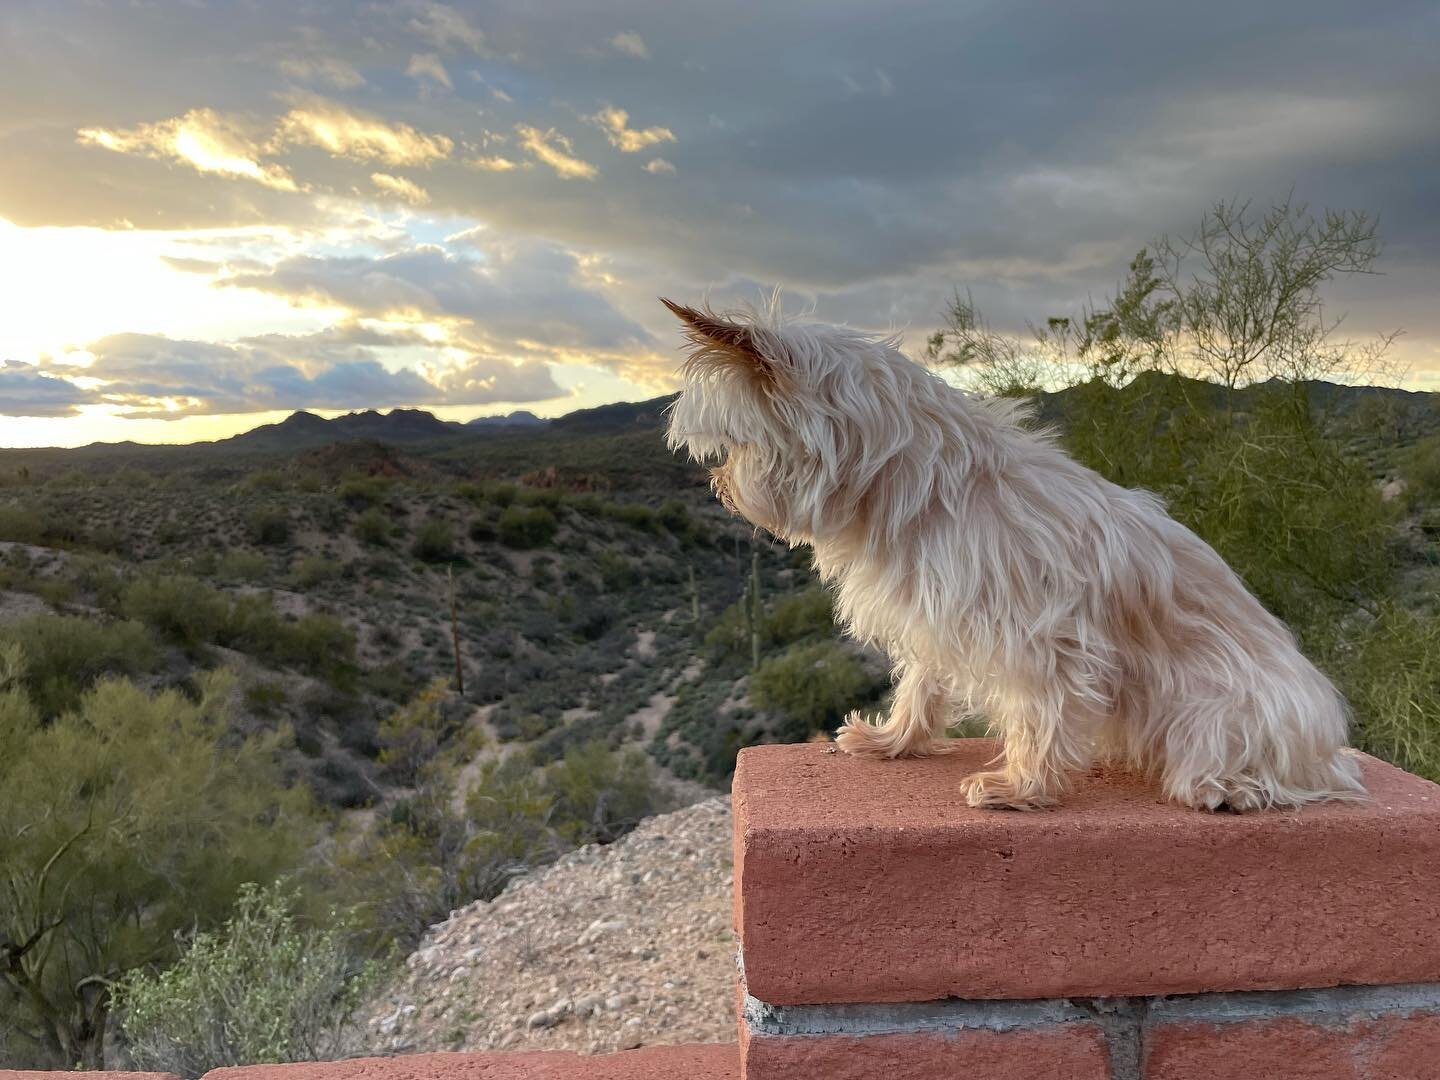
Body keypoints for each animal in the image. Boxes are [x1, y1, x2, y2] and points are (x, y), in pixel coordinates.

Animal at [659, 296, 1365, 812]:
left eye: (735, 444)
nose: (720, 484)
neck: (927, 488)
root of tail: (1327, 743)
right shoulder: (934, 617)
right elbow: (922, 687)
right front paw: (894, 741)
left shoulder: (1048, 639)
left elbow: (1040, 714)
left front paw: (1022, 787)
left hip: (1217, 713)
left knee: (1275, 777)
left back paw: (1233, 788)